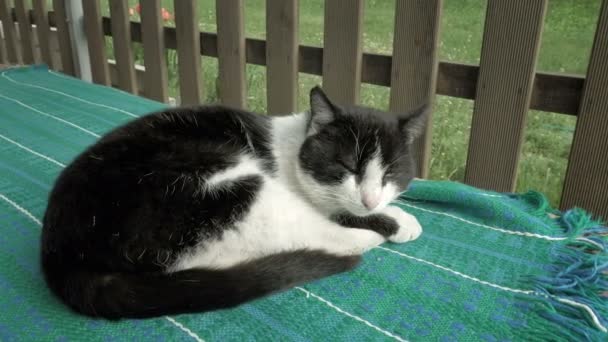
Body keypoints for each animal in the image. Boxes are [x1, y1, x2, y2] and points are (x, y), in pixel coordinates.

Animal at [40, 85, 426, 318]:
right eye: (346, 166)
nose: (370, 199)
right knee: (318, 237)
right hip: (224, 189)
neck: (291, 148)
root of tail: (62, 254)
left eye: (390, 173)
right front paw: (396, 220)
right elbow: (337, 214)